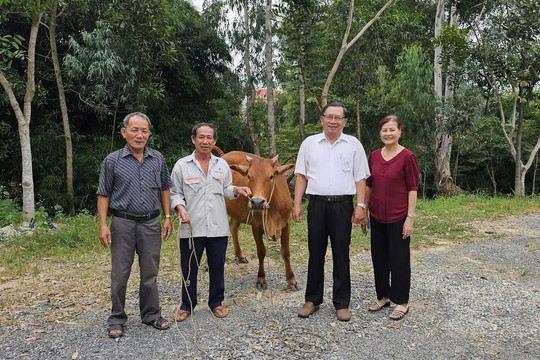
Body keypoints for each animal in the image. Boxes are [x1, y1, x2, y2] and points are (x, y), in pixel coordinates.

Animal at [214, 145, 300, 292]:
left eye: (271, 176)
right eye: (249, 176)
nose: (257, 202)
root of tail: (224, 155)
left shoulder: (286, 223)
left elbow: (286, 252)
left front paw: (291, 280)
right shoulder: (256, 225)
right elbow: (261, 251)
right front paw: (261, 279)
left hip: (238, 213)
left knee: (233, 226)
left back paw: (240, 256)